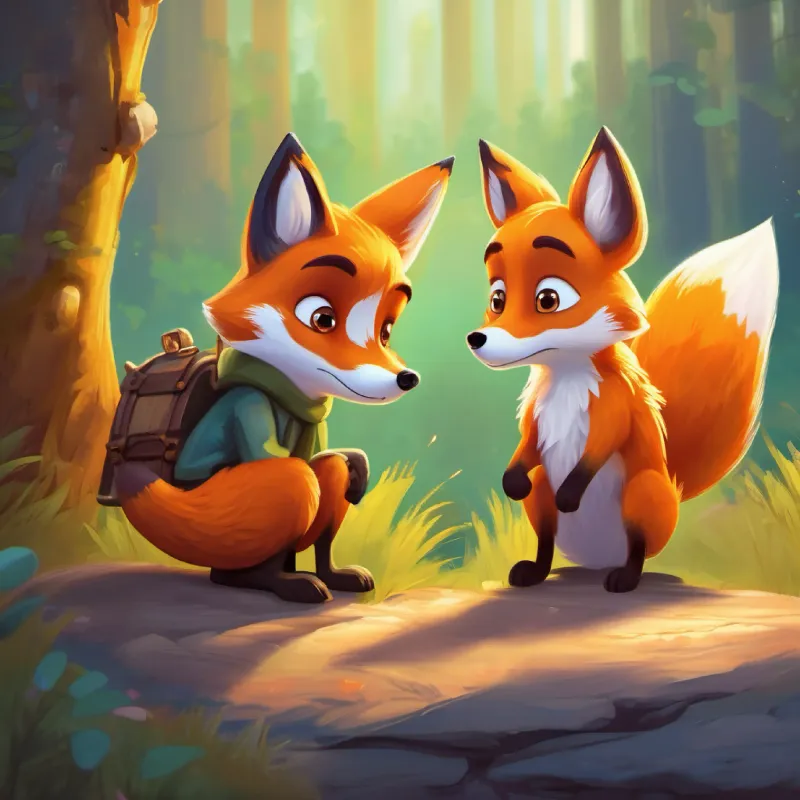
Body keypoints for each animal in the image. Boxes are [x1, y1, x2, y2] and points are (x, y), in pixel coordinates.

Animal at [115, 132, 454, 603]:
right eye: (321, 318)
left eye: (386, 331)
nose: (406, 379)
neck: (290, 396)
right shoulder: (248, 404)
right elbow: (286, 461)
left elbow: (333, 459)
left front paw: (359, 465)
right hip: (216, 522)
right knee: (297, 481)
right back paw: (275, 582)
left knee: (329, 474)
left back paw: (331, 574)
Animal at [467, 126, 779, 593]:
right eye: (497, 299)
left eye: (549, 299)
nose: (477, 339)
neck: (567, 379)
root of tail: (595, 560)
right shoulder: (536, 418)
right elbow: (526, 446)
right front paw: (511, 480)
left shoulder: (613, 407)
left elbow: (600, 446)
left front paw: (572, 492)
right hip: (541, 498)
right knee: (545, 539)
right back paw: (535, 571)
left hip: (642, 492)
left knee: (637, 548)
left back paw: (625, 578)